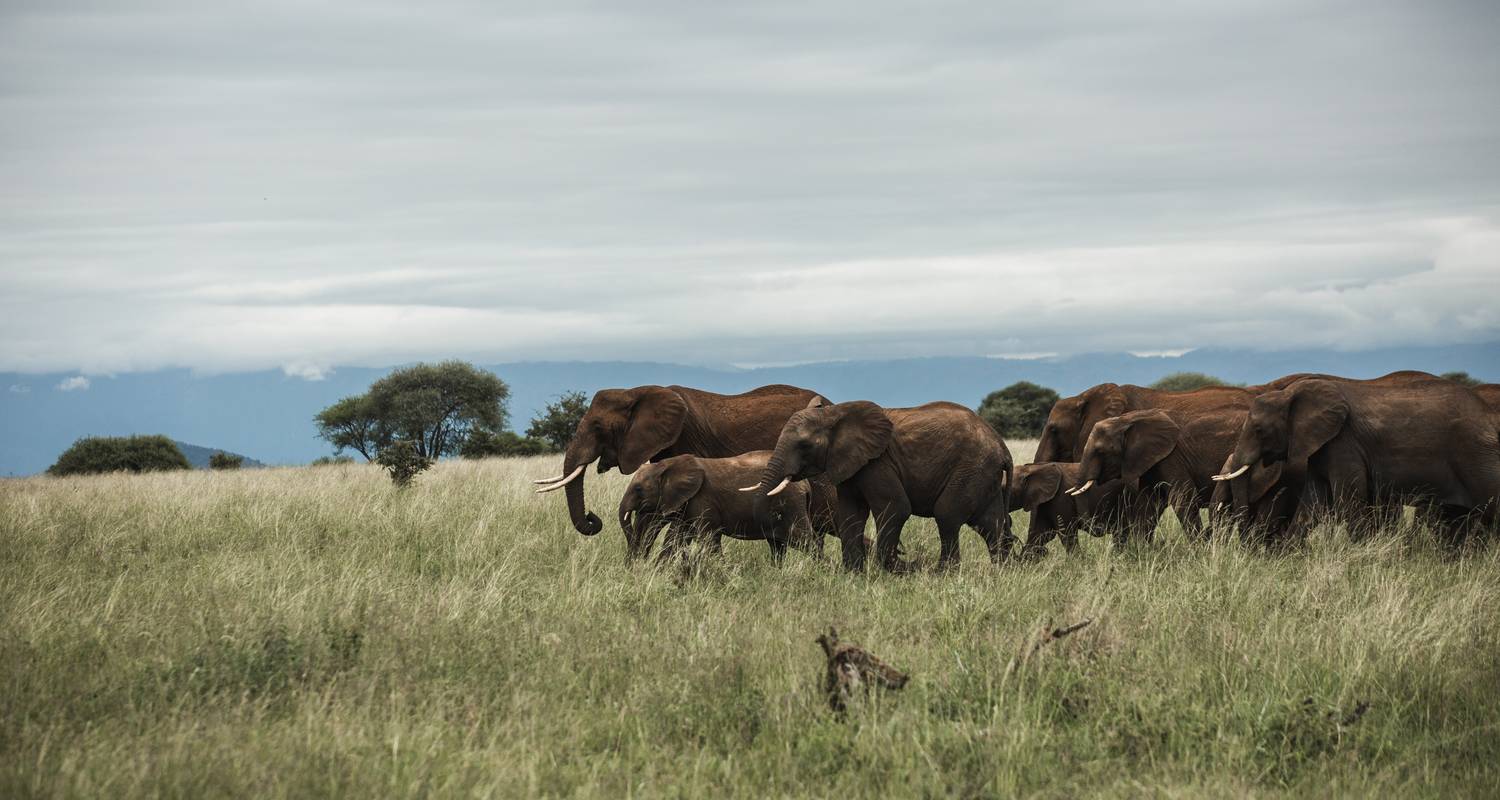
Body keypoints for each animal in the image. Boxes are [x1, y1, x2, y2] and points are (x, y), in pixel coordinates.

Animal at [615, 450, 816, 561]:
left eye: (638, 489)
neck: (668, 464)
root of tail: (805, 484)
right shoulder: (688, 504)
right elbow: (678, 537)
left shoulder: (703, 498)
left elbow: (708, 537)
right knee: (777, 546)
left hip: (791, 504)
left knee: (805, 541)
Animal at [744, 396, 1014, 570]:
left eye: (804, 445)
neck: (835, 414)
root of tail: (1002, 447)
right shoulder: (850, 464)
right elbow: (850, 514)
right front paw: (853, 573)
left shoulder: (877, 462)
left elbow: (895, 507)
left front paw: (891, 570)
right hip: (982, 474)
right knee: (990, 522)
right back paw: (1001, 571)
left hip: (971, 468)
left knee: (947, 514)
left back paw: (943, 572)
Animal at [1206, 373, 1500, 549]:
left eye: (1258, 429)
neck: (1289, 394)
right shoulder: (1321, 447)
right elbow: (1313, 503)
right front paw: (1287, 558)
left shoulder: (1345, 443)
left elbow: (1347, 501)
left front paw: (1361, 557)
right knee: (1457, 519)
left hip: (1477, 455)